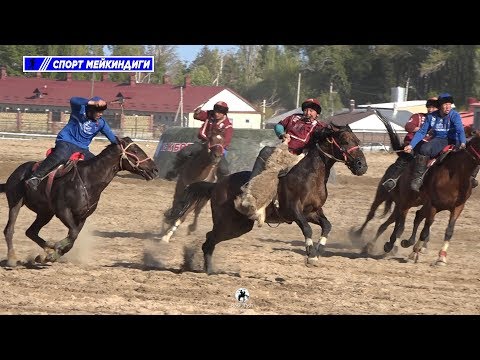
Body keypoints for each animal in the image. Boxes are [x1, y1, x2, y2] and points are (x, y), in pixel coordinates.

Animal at [1, 136, 159, 266]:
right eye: (135, 150)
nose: (154, 169)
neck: (88, 180)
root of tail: (16, 172)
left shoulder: (82, 217)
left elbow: (73, 237)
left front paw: (52, 254)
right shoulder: (63, 211)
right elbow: (73, 234)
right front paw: (54, 250)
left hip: (45, 213)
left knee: (31, 232)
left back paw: (48, 248)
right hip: (16, 203)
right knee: (9, 230)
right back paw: (12, 259)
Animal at [165, 124, 368, 272]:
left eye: (357, 140)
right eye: (344, 140)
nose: (362, 166)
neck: (309, 175)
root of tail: (217, 185)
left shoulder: (313, 212)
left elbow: (327, 225)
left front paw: (318, 254)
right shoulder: (294, 211)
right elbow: (307, 229)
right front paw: (310, 254)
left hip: (239, 226)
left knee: (210, 240)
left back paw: (209, 269)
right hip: (227, 223)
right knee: (209, 240)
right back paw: (208, 270)